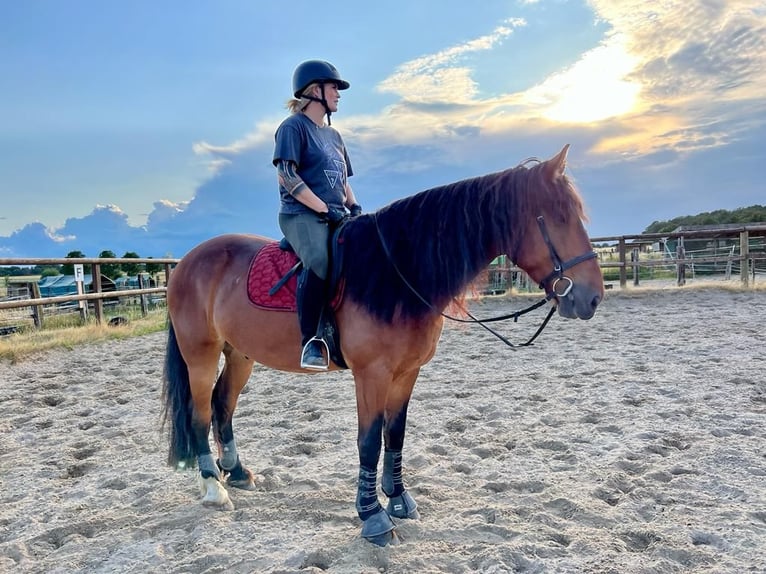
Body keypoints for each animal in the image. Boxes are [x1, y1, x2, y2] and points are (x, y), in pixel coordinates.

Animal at [160, 145, 608, 548]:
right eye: (560, 217)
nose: (592, 298)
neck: (397, 272)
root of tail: (186, 263)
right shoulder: (371, 374)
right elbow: (369, 441)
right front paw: (372, 517)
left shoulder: (407, 372)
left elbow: (396, 434)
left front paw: (398, 500)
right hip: (200, 354)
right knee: (200, 412)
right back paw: (214, 487)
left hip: (240, 354)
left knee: (223, 404)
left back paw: (237, 473)